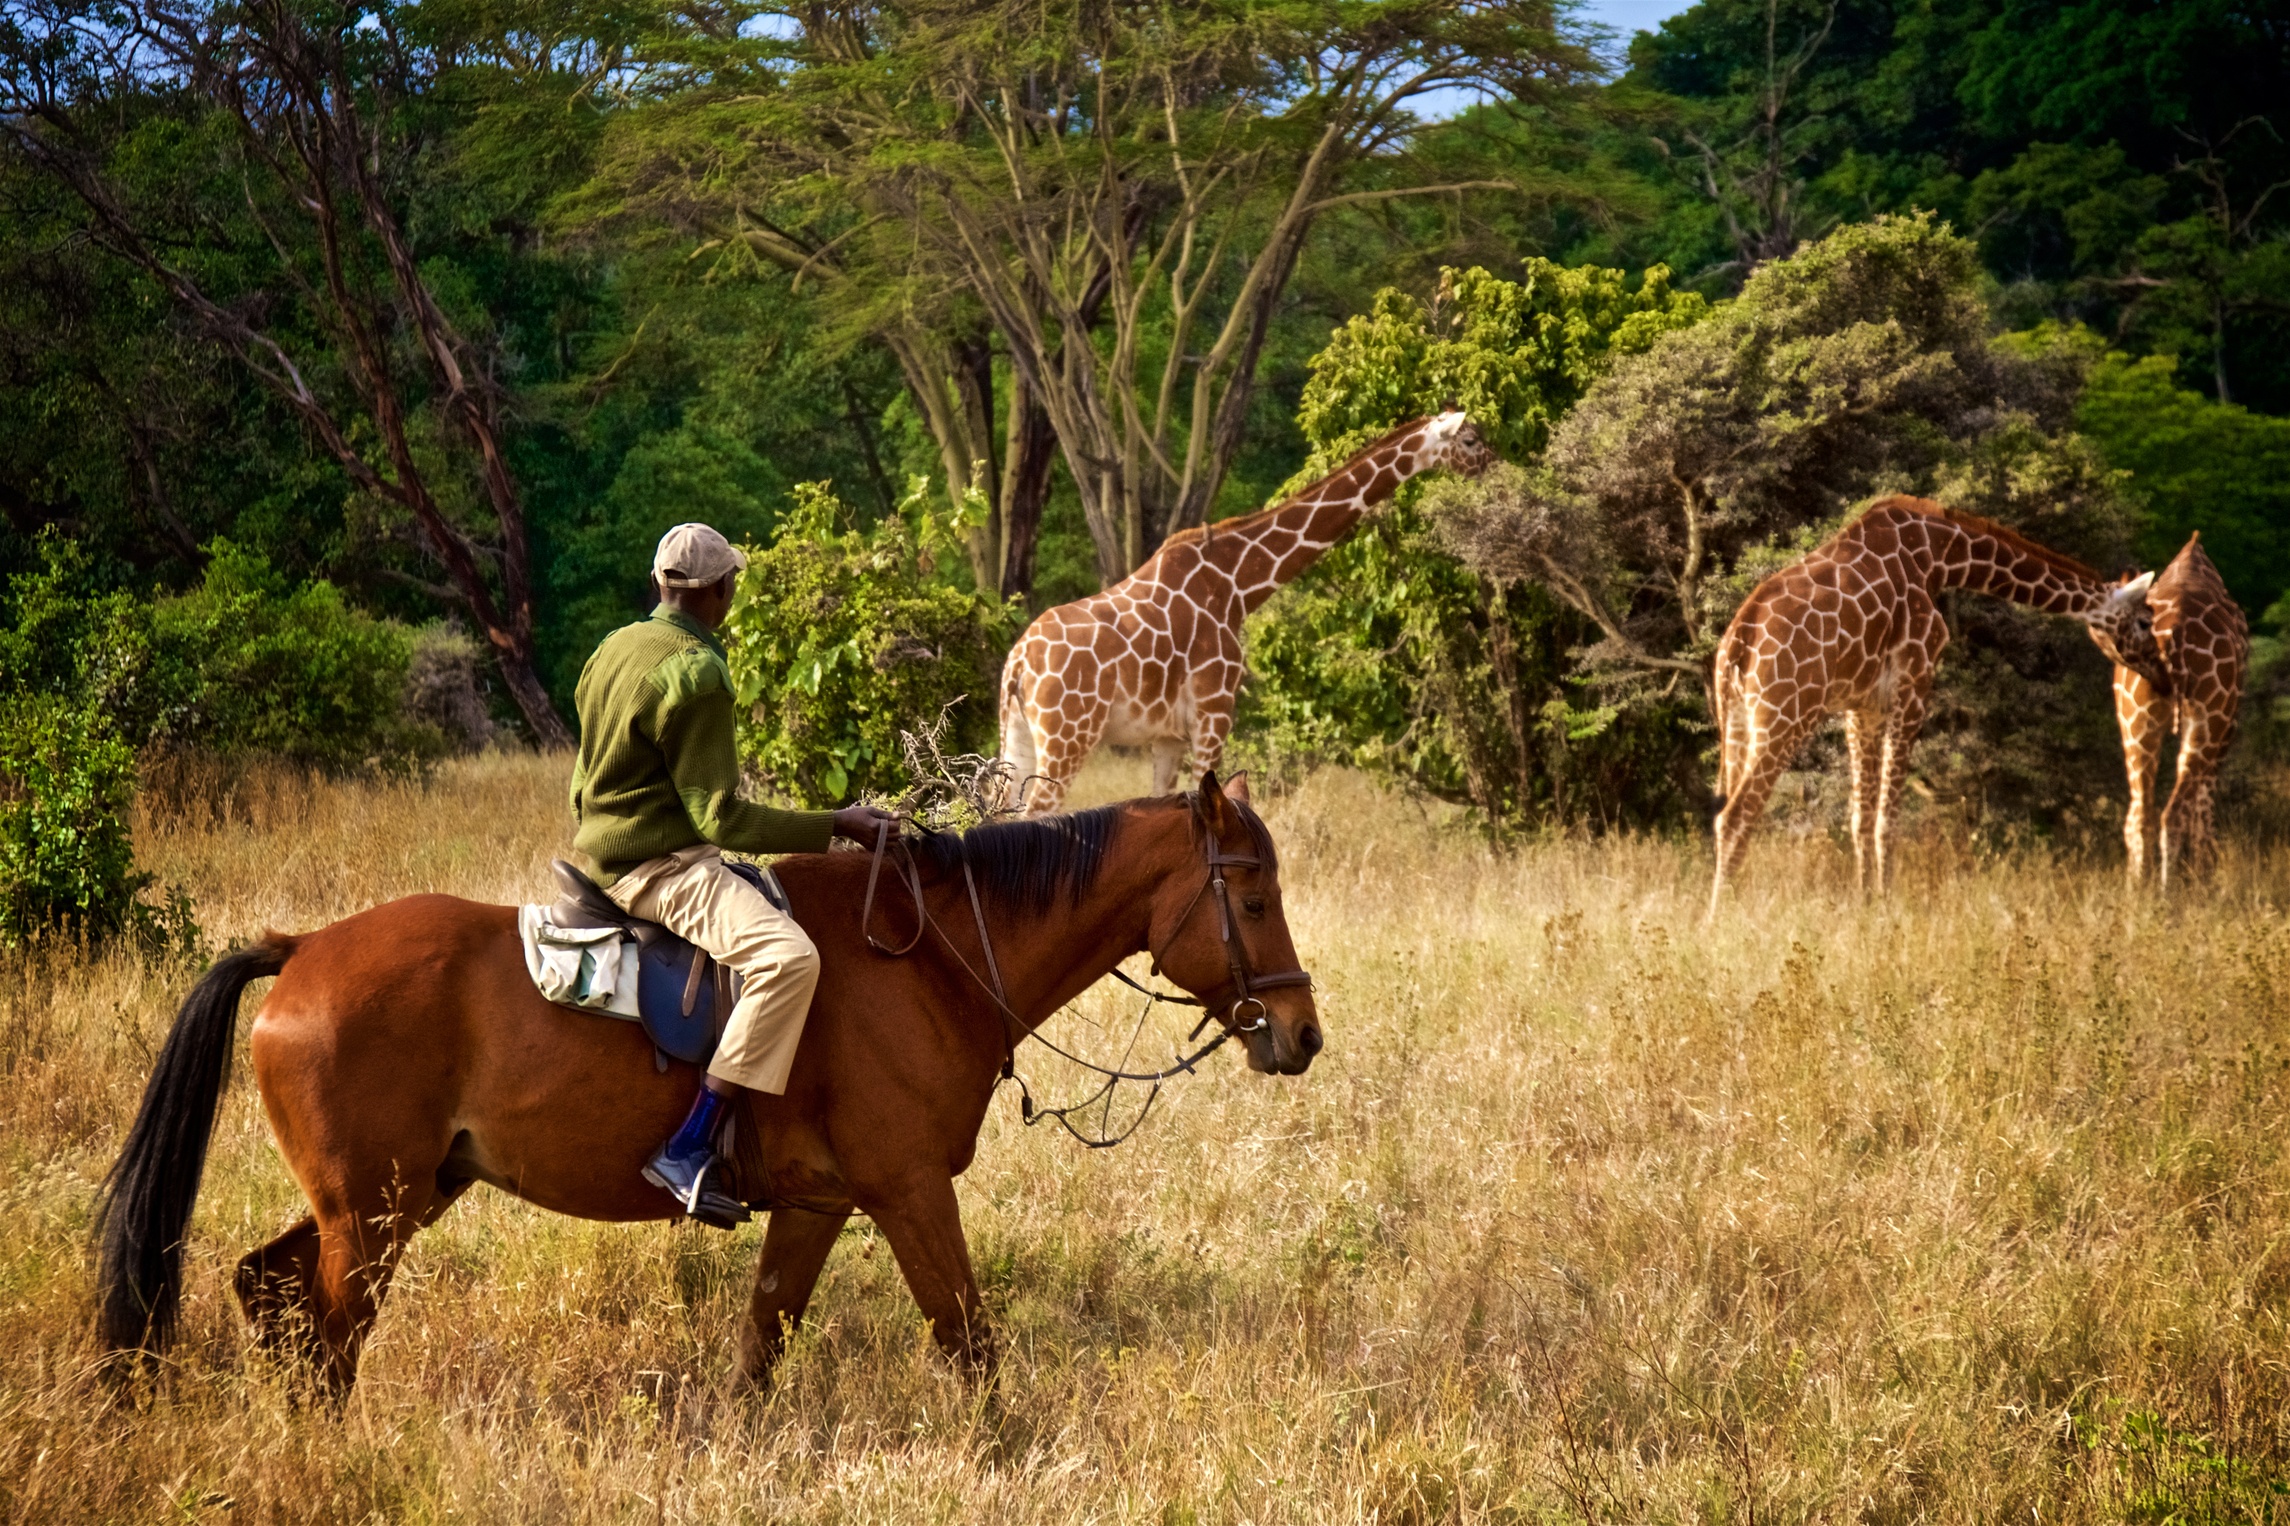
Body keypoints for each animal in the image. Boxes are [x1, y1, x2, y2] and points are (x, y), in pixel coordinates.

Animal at [93, 774, 1319, 1396]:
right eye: (1253, 896)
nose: (1301, 1033)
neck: (932, 958)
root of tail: (301, 950)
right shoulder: (910, 1189)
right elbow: (969, 1340)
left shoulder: (821, 1204)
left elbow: (761, 1347)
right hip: (375, 1213)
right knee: (332, 1334)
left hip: (402, 1194)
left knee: (270, 1288)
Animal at [999, 412, 1494, 814]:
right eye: (1471, 440)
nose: (1495, 465)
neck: (1239, 585)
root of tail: (1018, 662)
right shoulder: (1214, 715)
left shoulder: (1168, 736)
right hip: (1069, 735)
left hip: (1019, 734)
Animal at [1707, 495, 2167, 915]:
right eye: (2146, 622)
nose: (2162, 674)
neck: (1942, 556)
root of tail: (1737, 643)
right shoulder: (1914, 683)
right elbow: (1888, 819)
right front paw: (1887, 905)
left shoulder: (1862, 706)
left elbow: (1860, 818)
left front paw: (1865, 903)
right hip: (1787, 715)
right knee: (1734, 815)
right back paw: (1718, 919)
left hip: (1739, 722)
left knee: (1730, 811)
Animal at [2098, 533, 2249, 888]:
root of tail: (2176, 638)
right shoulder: (2227, 725)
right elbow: (2204, 805)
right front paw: (2204, 874)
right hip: (2208, 719)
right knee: (2174, 813)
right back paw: (2171, 896)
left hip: (2136, 724)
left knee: (2139, 814)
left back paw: (2138, 895)